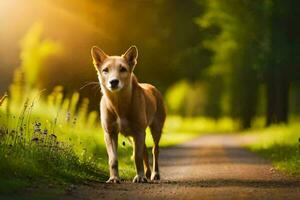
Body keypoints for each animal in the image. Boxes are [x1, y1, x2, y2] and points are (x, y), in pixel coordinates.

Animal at [91, 45, 166, 183]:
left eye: (123, 69)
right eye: (105, 70)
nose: (113, 82)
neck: (119, 105)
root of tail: (152, 87)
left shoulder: (138, 131)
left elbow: (137, 156)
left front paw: (140, 177)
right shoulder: (110, 133)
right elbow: (113, 159)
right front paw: (114, 178)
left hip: (156, 128)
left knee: (155, 150)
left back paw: (154, 174)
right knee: (144, 151)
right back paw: (147, 173)